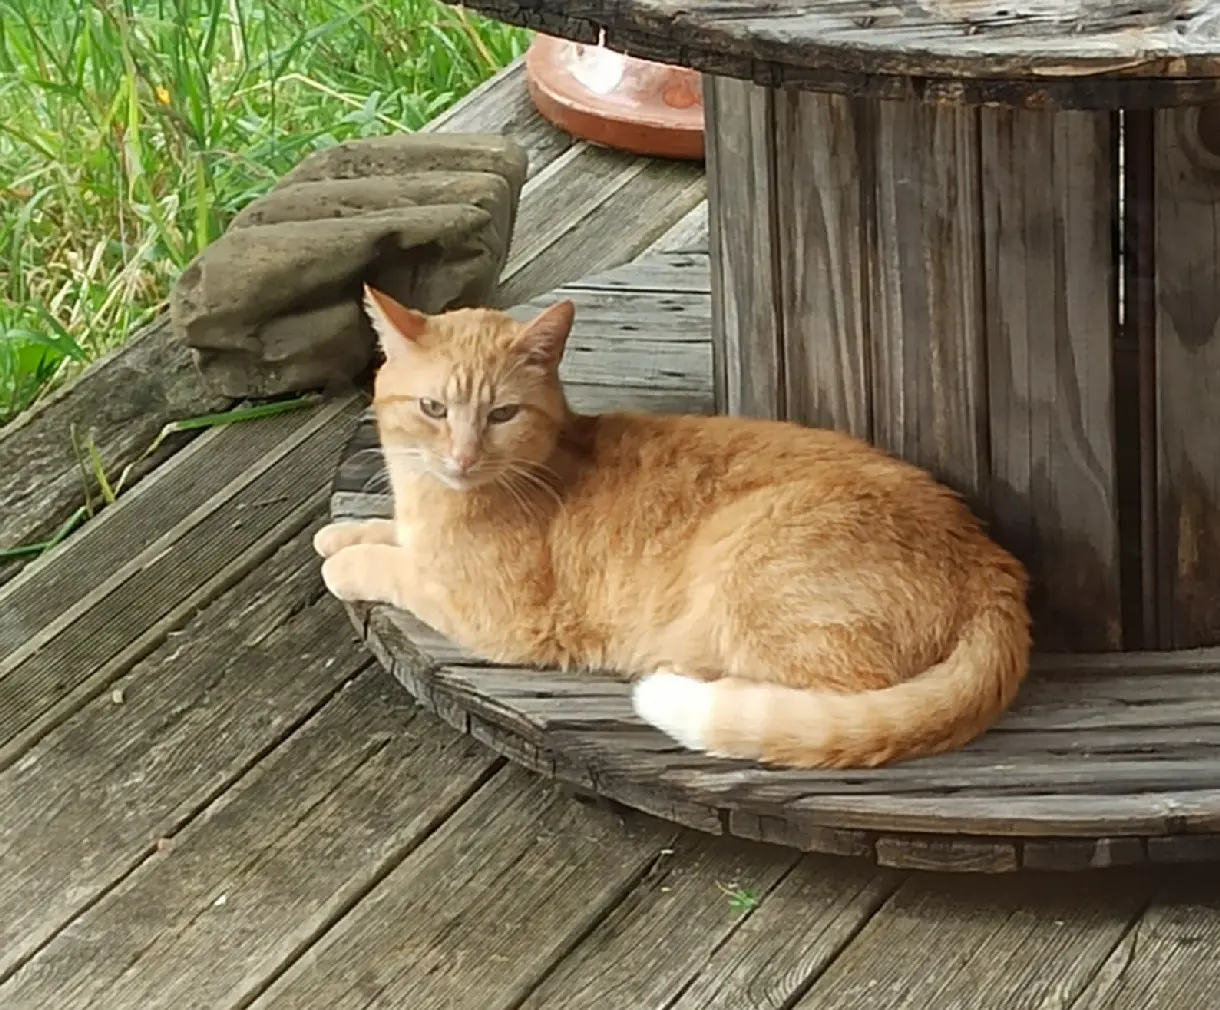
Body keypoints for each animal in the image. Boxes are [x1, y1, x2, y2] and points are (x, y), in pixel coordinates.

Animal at [314, 287, 1029, 770]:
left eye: (502, 414)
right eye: (433, 409)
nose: (462, 459)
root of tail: (991, 562)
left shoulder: (496, 616)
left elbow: (394, 569)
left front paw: (345, 560)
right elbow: (385, 536)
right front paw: (347, 534)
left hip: (756, 576)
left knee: (842, 689)